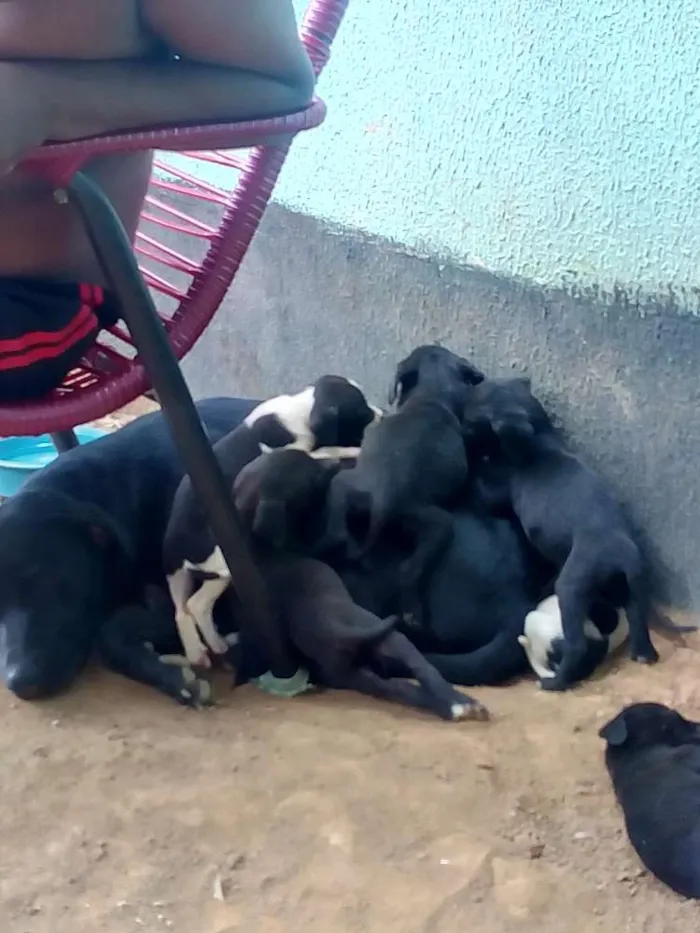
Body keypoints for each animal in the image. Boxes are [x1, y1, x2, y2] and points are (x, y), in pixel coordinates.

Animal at [162, 374, 380, 668]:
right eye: (359, 410)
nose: (382, 414)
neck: (300, 410)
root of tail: (176, 546)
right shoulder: (298, 453)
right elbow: (325, 450)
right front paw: (352, 449)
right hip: (227, 561)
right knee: (192, 606)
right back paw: (204, 650)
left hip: (205, 574)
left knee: (189, 607)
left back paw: (208, 648)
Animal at [464, 378, 696, 692]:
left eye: (480, 401)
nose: (462, 407)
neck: (538, 436)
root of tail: (621, 552)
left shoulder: (497, 490)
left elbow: (483, 483)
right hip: (632, 590)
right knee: (639, 626)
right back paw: (644, 655)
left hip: (571, 587)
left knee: (576, 646)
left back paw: (555, 682)